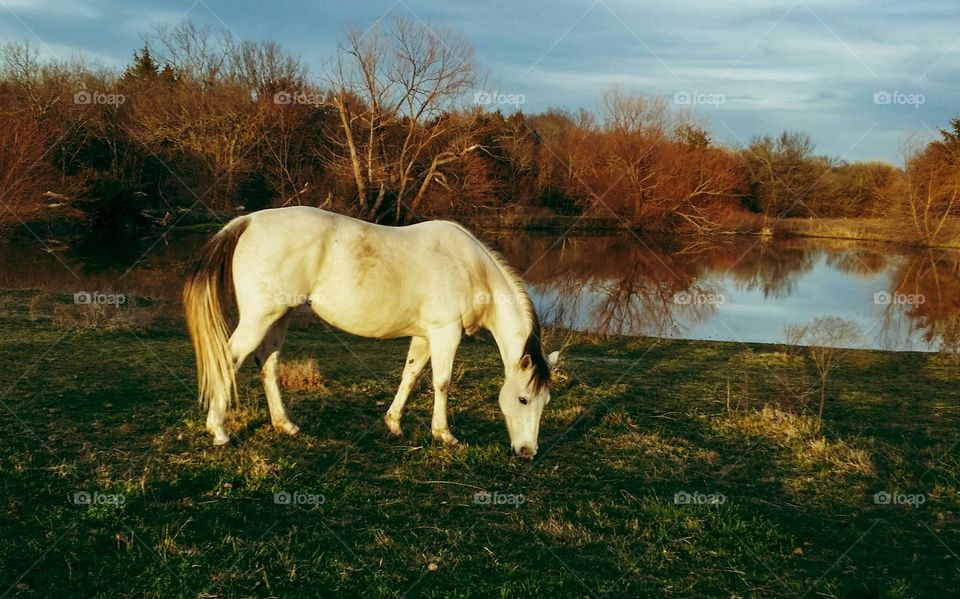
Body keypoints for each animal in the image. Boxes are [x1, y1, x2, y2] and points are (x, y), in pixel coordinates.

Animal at [184, 206, 560, 460]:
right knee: (228, 360)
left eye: (545, 402)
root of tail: (248, 221)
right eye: (523, 399)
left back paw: (284, 425)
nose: (528, 451)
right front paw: (444, 434)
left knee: (268, 365)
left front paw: (393, 424)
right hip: (260, 318)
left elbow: (410, 376)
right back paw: (219, 431)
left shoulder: (424, 336)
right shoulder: (445, 333)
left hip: (279, 316)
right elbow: (441, 383)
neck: (471, 268)